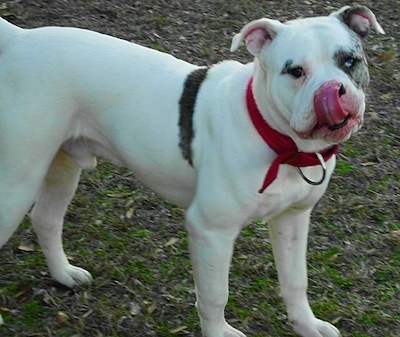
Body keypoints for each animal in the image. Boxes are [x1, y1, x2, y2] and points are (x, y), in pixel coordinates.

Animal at [0, 5, 384, 336]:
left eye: (349, 61)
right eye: (295, 71)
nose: (333, 91)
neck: (280, 142)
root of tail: (20, 39)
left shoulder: (292, 219)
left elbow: (295, 281)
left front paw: (307, 325)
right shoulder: (211, 231)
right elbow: (214, 296)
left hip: (61, 165)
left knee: (46, 219)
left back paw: (64, 274)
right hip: (17, 181)